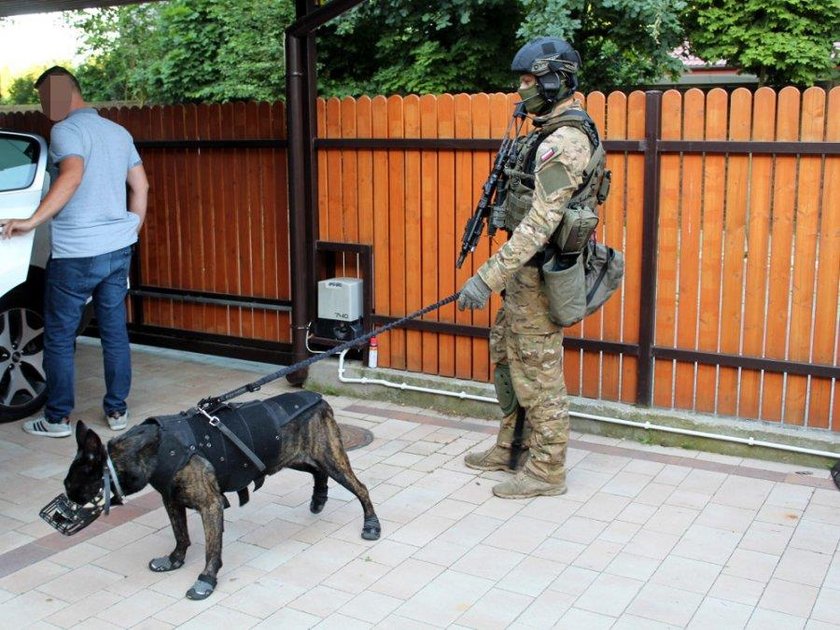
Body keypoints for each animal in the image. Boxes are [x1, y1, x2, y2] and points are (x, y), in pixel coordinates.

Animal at [64, 392, 378, 600]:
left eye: (73, 486)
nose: (61, 511)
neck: (152, 450)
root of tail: (320, 399)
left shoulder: (211, 505)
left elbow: (211, 549)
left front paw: (206, 579)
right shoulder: (172, 501)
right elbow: (181, 535)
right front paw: (175, 560)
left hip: (329, 457)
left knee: (360, 487)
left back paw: (371, 524)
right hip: (292, 456)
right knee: (318, 472)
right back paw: (319, 498)